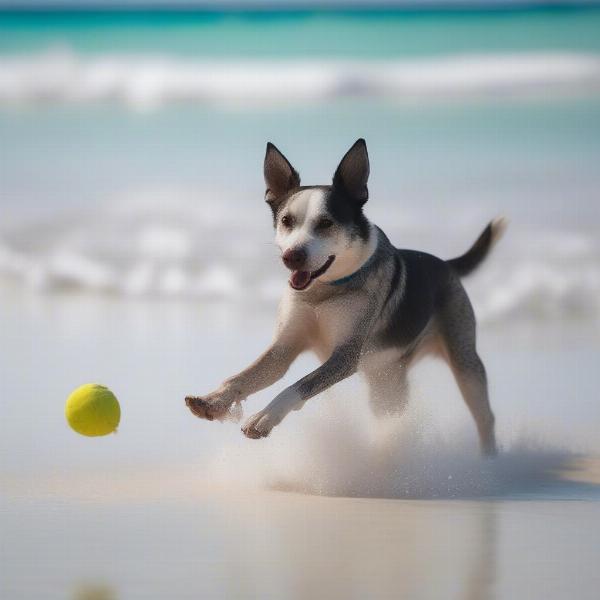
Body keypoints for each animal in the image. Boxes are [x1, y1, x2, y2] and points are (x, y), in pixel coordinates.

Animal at [185, 137, 504, 454]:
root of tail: (447, 264)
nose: (292, 257)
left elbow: (300, 385)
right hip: (387, 380)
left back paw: (489, 459)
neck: (323, 290)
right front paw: (213, 401)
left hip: (464, 357)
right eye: (287, 220)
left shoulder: (345, 356)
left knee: (484, 414)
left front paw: (264, 417)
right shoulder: (284, 347)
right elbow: (245, 376)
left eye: (326, 223)